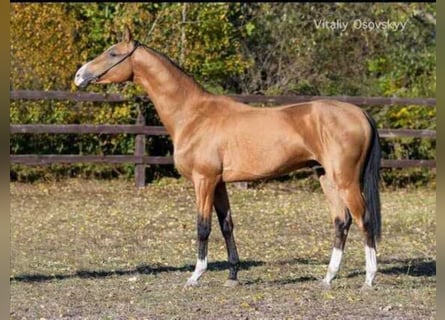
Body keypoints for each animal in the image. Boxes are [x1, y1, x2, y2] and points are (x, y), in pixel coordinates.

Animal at [74, 26, 380, 288]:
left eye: (113, 53)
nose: (79, 75)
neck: (193, 114)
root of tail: (360, 113)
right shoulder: (219, 183)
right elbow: (226, 225)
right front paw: (232, 275)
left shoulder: (204, 181)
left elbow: (203, 227)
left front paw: (195, 276)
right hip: (326, 177)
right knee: (341, 221)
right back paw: (328, 278)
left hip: (345, 180)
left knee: (363, 219)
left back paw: (369, 279)